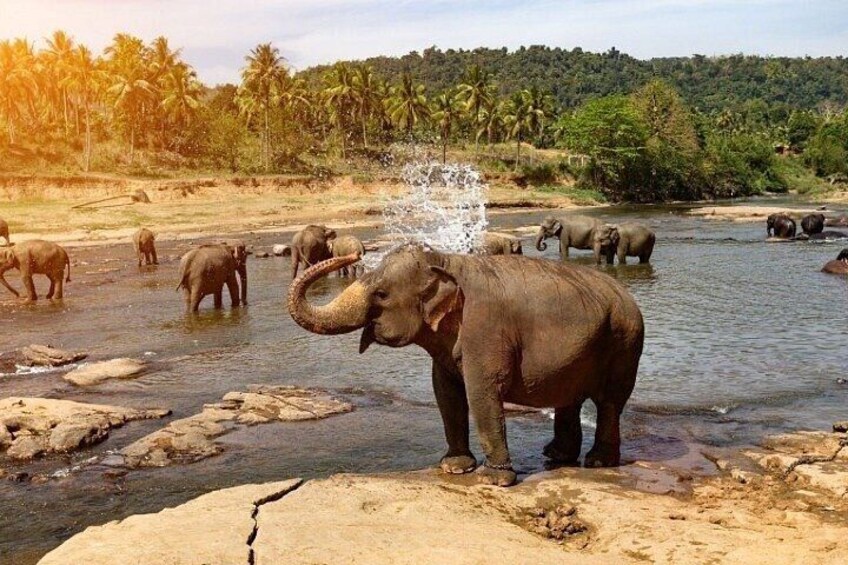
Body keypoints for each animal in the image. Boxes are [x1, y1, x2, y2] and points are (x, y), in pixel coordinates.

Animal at [288, 245, 645, 487]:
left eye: (382, 294)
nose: (352, 256)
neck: (445, 260)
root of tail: (627, 295)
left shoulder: (485, 329)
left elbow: (481, 392)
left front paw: (492, 480)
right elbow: (446, 393)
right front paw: (454, 468)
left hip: (625, 342)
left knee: (609, 402)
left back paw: (597, 462)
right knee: (569, 398)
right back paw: (556, 456)